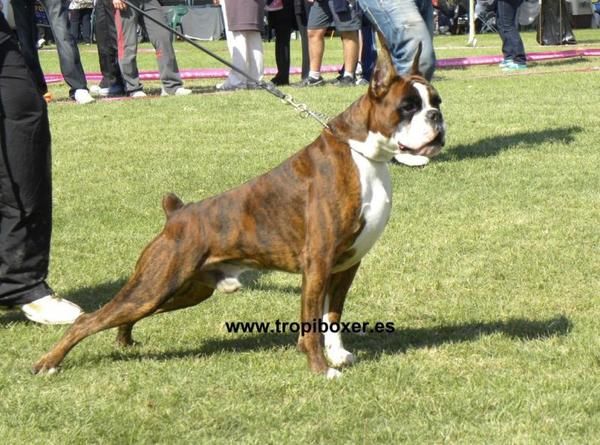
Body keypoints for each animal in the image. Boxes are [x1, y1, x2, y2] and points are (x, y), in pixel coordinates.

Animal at [32, 40, 446, 376]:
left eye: (436, 102)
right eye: (408, 107)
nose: (437, 118)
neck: (363, 156)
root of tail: (176, 214)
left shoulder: (345, 267)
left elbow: (332, 316)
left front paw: (339, 356)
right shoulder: (318, 264)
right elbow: (311, 325)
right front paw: (321, 370)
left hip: (180, 291)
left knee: (124, 317)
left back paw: (125, 342)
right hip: (156, 284)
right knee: (87, 319)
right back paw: (48, 364)